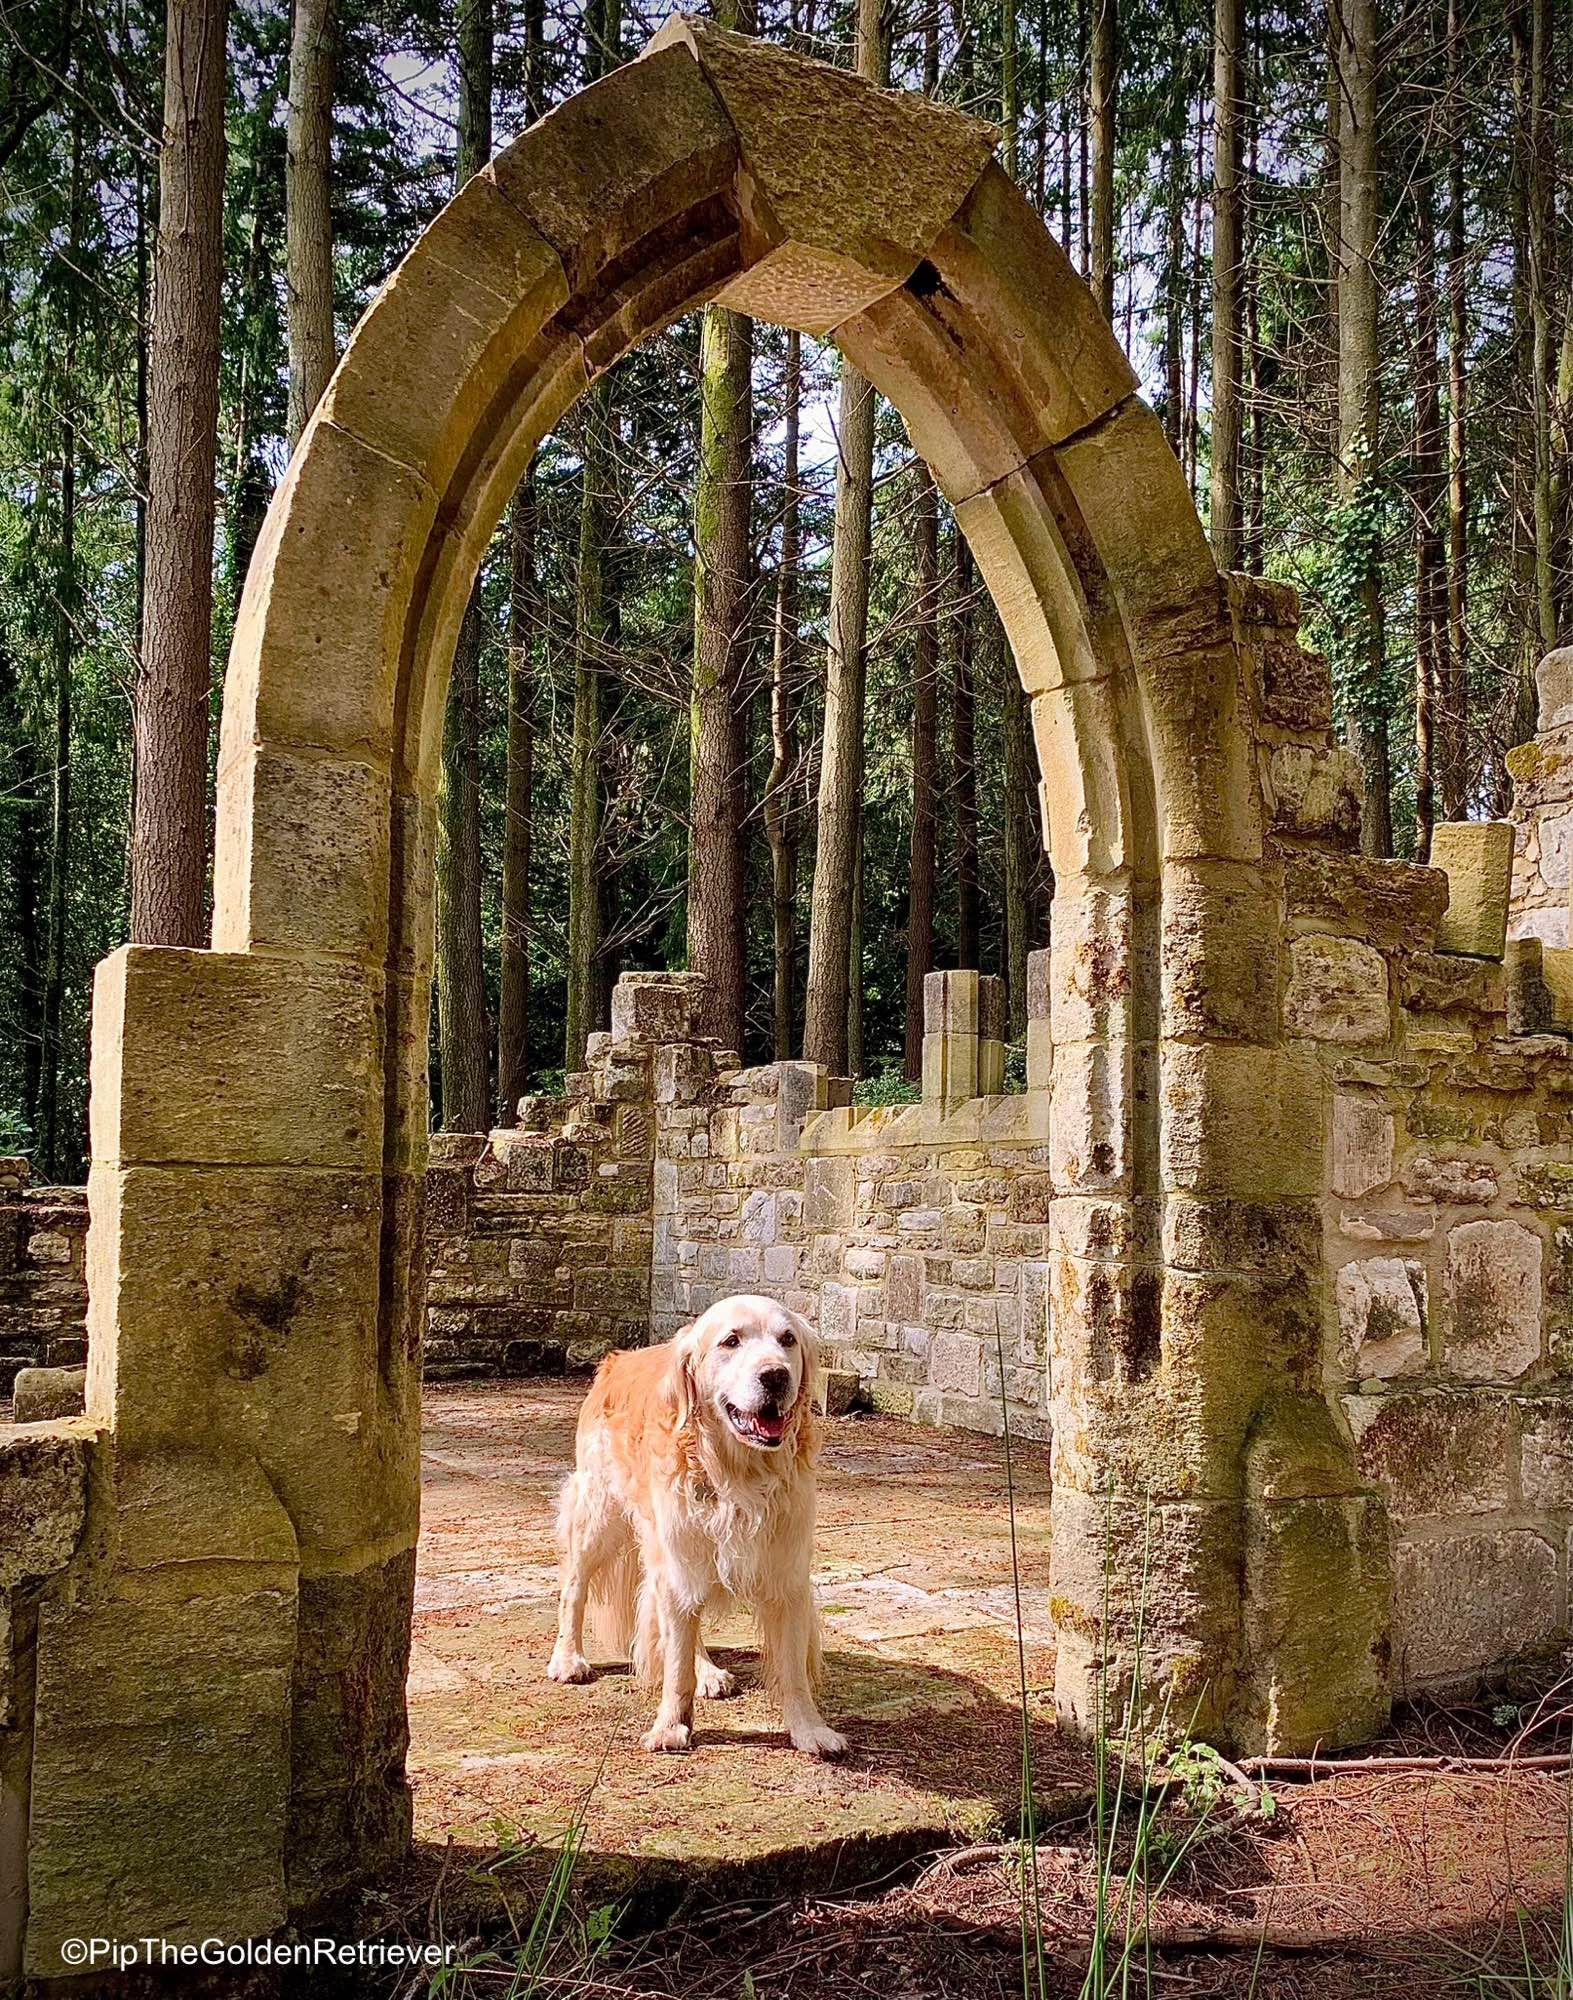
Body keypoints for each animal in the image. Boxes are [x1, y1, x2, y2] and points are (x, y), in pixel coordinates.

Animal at [552, 1296, 844, 1752]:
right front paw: (671, 1726)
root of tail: (617, 1359)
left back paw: (708, 1671)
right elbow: (675, 1667)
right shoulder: (676, 1563)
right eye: (731, 1341)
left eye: (788, 1340)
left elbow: (793, 1669)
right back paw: (568, 1658)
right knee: (575, 1588)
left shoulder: (787, 1570)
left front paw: (809, 1729)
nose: (776, 1376)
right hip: (598, 1516)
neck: (740, 1475)